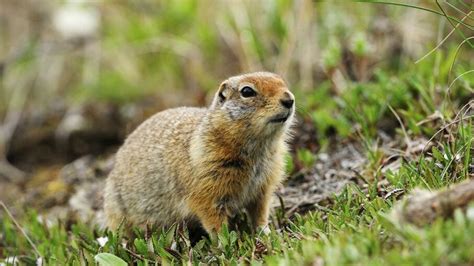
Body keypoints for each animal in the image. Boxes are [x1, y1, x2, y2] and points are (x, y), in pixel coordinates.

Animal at [105, 71, 294, 236]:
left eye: (281, 81)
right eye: (247, 91)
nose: (289, 99)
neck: (258, 149)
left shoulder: (263, 188)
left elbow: (260, 214)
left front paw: (267, 234)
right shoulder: (207, 190)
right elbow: (214, 221)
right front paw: (226, 243)